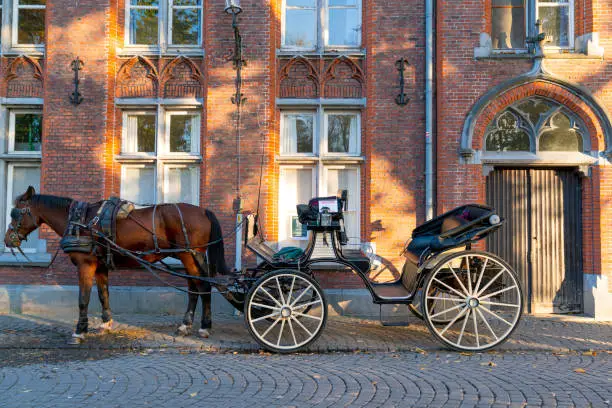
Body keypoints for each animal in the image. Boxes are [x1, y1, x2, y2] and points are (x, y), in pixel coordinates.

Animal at [2, 188, 230, 344]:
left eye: (16, 213)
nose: (7, 239)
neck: (80, 222)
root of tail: (203, 211)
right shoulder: (101, 266)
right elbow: (103, 294)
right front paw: (105, 324)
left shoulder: (85, 265)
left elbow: (83, 299)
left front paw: (79, 331)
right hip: (188, 257)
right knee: (194, 289)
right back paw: (185, 325)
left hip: (190, 256)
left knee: (203, 287)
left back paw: (204, 327)